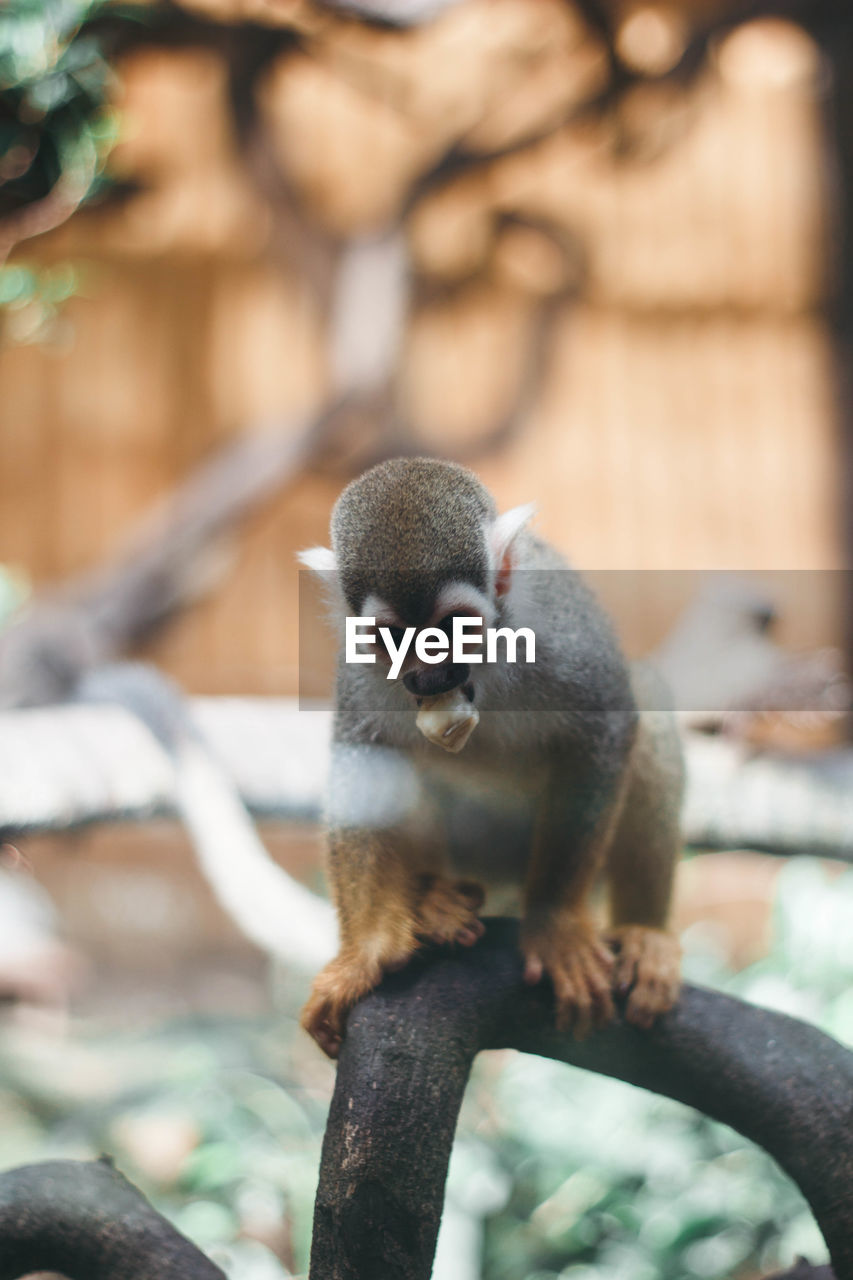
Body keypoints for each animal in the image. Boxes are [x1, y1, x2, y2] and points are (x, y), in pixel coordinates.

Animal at [298, 455, 686, 1054]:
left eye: (453, 627)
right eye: (393, 638)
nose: (430, 678)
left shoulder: (560, 635)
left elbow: (608, 725)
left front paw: (555, 928)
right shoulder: (358, 666)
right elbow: (365, 764)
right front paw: (365, 953)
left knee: (649, 711)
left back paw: (645, 933)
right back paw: (432, 901)